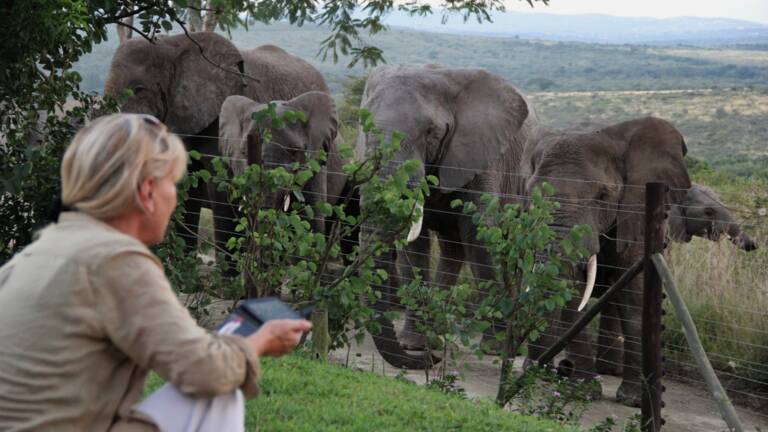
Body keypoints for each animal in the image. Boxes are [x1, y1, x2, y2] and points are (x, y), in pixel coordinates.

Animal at [103, 33, 330, 276]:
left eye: (138, 89)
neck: (173, 44)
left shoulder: (217, 122)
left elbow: (221, 186)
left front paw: (226, 279)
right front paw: (185, 273)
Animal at [356, 63, 544, 368]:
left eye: (430, 132)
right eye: (364, 127)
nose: (432, 360)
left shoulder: (484, 156)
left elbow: (480, 234)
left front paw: (496, 348)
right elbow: (415, 247)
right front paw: (414, 345)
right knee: (453, 250)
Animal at [524, 116, 692, 406]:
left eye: (603, 196)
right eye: (530, 193)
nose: (563, 369)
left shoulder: (636, 213)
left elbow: (635, 295)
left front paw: (633, 401)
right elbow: (574, 293)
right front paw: (583, 391)